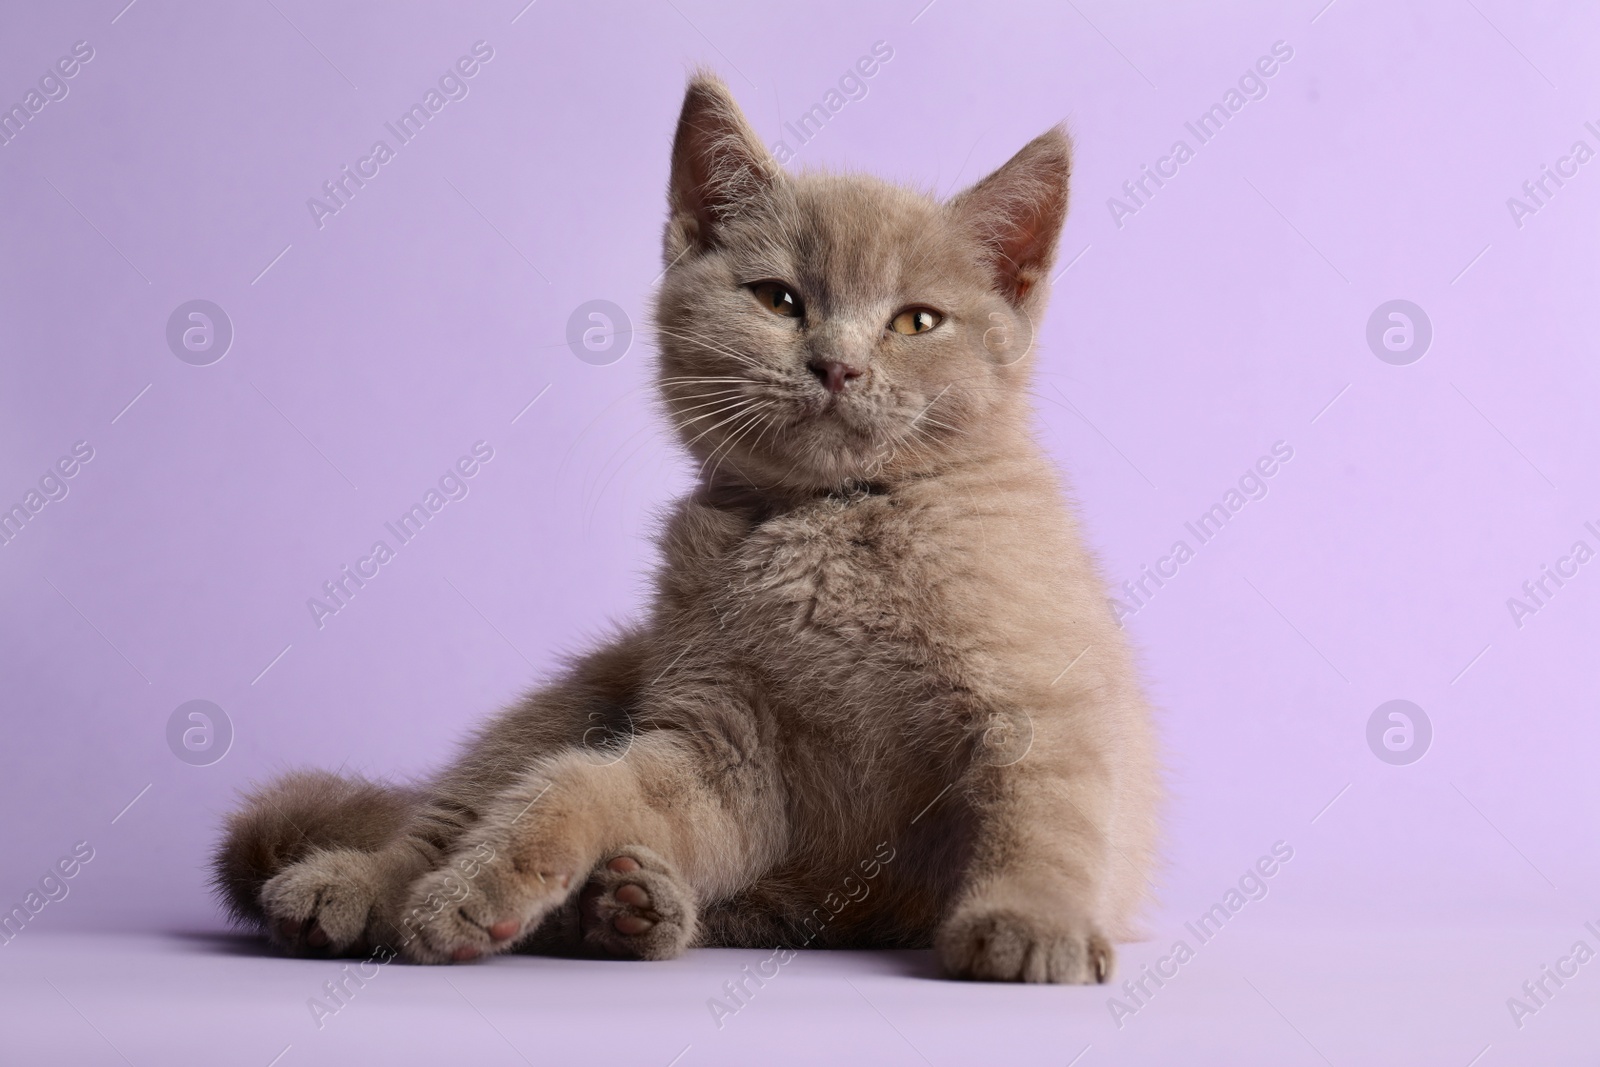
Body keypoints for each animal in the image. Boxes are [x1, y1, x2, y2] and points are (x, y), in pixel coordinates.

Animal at [216, 68, 1164, 985]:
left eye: (917, 321)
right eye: (779, 299)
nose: (838, 365)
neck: (831, 514)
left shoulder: (1039, 701)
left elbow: (1048, 815)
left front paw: (1031, 923)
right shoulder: (725, 743)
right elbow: (573, 784)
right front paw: (475, 886)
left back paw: (632, 907)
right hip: (581, 688)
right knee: (446, 808)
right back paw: (354, 884)